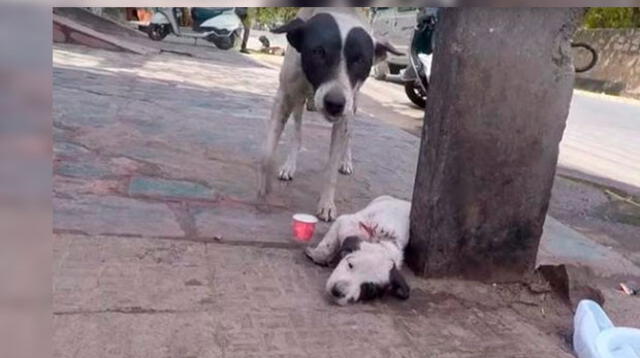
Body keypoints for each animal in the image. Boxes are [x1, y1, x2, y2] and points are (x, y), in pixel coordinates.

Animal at [256, 7, 400, 221]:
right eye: (318, 52)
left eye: (359, 59)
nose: (334, 104)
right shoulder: (285, 96)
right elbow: (267, 153)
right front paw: (265, 185)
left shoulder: (345, 112)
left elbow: (331, 168)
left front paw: (326, 204)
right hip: (298, 100)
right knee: (297, 131)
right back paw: (290, 165)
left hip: (354, 103)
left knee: (350, 134)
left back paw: (346, 161)